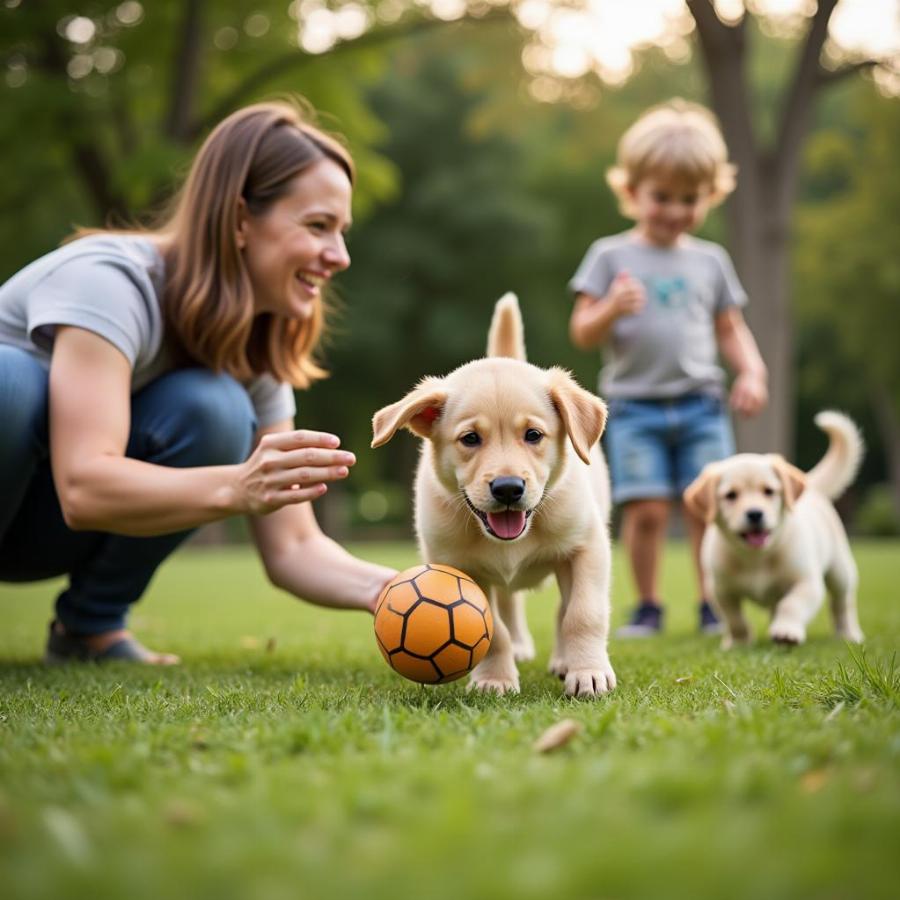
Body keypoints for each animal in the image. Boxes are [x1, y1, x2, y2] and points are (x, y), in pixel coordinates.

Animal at [370, 294, 616, 696]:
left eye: (533, 435)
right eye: (470, 438)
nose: (508, 488)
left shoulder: (588, 547)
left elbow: (582, 613)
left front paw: (588, 671)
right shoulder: (458, 565)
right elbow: (492, 628)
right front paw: (494, 679)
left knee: (561, 607)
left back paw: (564, 660)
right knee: (508, 601)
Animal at [684, 412, 868, 652]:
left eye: (769, 491)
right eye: (731, 495)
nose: (755, 513)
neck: (756, 557)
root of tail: (812, 486)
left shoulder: (806, 582)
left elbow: (791, 605)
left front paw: (786, 631)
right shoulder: (720, 589)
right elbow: (735, 619)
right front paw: (738, 642)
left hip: (840, 571)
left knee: (842, 604)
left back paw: (849, 634)